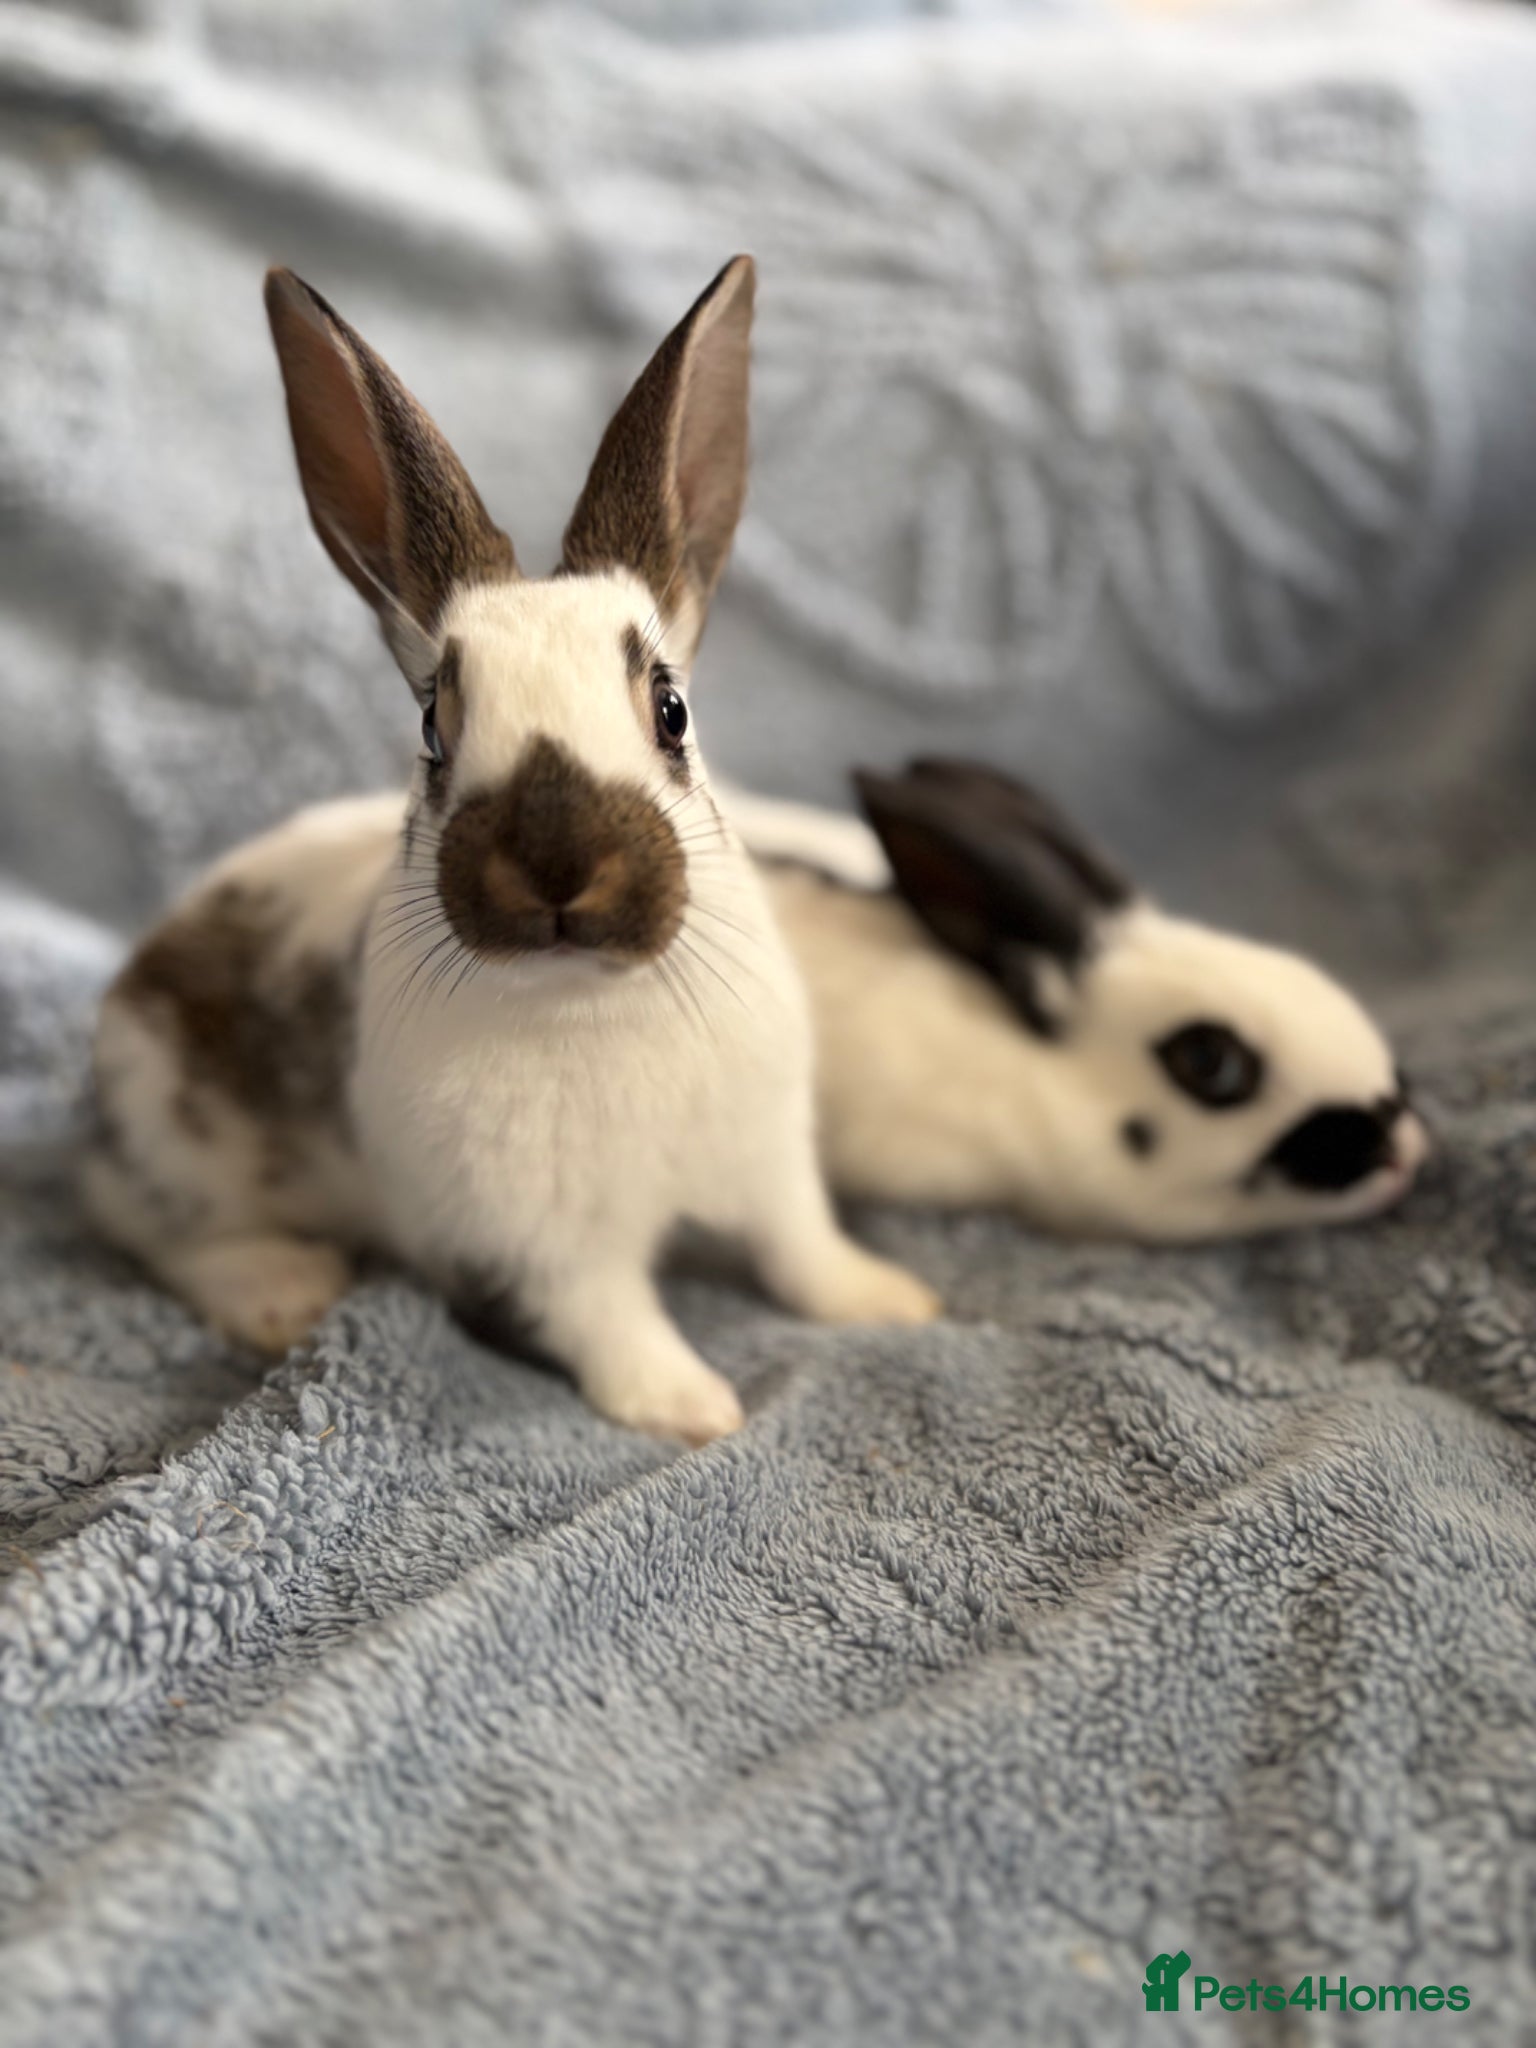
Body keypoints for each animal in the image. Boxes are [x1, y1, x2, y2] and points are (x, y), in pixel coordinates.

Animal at [82, 258, 940, 1444]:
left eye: (671, 709)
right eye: (433, 732)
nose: (559, 870)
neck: (590, 999)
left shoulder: (768, 1160)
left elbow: (800, 1248)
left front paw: (890, 1301)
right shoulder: (536, 1246)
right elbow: (610, 1321)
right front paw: (694, 1409)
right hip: (171, 1134)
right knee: (147, 1226)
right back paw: (278, 1287)